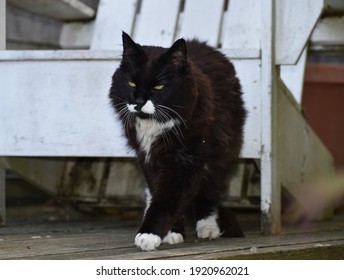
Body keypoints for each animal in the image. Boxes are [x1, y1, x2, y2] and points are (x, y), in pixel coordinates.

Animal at [109, 31, 246, 250]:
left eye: (159, 86)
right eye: (131, 83)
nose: (138, 102)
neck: (155, 125)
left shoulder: (186, 160)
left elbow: (168, 199)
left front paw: (148, 234)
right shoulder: (147, 155)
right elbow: (158, 191)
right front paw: (172, 232)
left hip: (221, 155)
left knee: (209, 192)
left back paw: (208, 227)